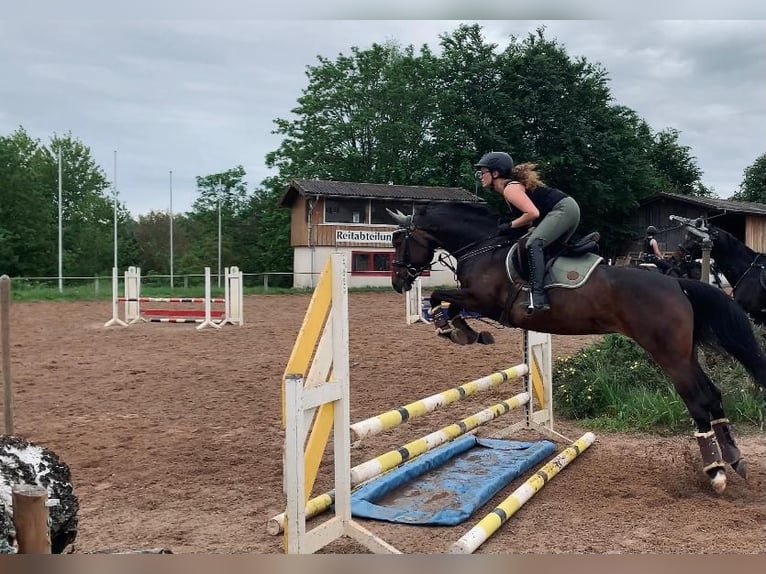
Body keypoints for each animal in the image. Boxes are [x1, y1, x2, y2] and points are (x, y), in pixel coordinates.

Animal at [390, 202, 766, 496]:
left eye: (398, 241)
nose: (397, 282)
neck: (484, 247)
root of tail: (676, 282)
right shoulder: (477, 301)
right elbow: (449, 304)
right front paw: (468, 333)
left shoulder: (484, 301)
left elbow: (441, 298)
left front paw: (453, 329)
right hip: (683, 353)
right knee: (713, 395)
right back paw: (735, 460)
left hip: (669, 355)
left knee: (698, 400)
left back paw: (716, 472)